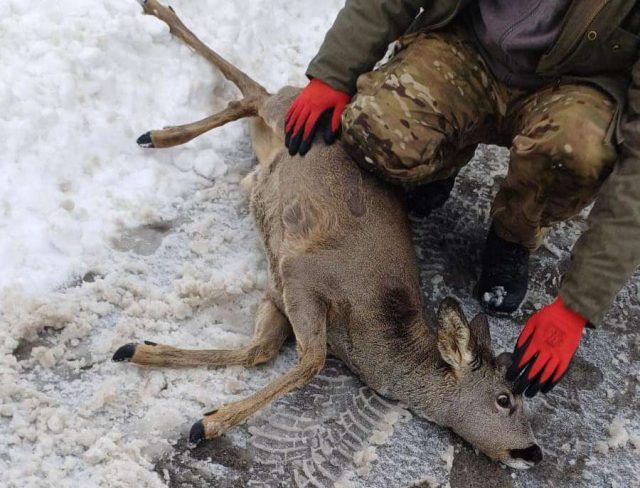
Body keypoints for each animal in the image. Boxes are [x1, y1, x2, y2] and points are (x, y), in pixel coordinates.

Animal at [112, 0, 544, 472]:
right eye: (504, 399)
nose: (534, 452)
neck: (373, 332)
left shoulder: (278, 292)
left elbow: (259, 349)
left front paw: (142, 348)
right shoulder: (303, 272)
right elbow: (313, 360)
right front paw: (206, 423)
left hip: (269, 142)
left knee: (248, 98)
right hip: (286, 115)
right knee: (256, 92)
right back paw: (158, 113)